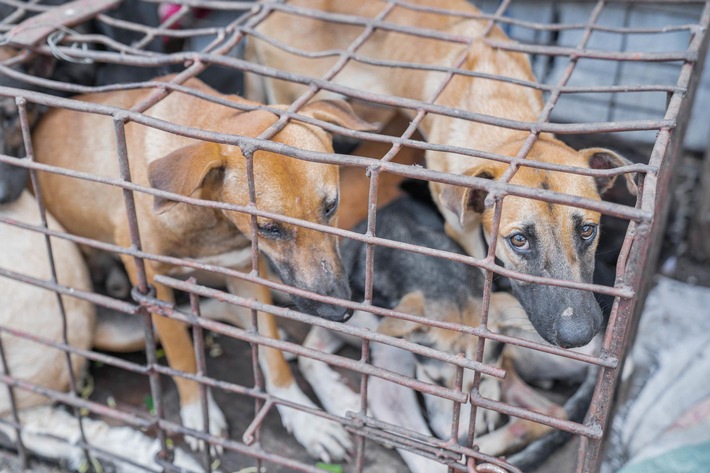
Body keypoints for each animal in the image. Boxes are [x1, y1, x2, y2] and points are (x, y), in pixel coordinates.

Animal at [32, 75, 376, 460]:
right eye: (269, 228)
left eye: (331, 207)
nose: (338, 312)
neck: (211, 219)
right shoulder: (151, 279)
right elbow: (181, 351)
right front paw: (200, 412)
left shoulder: (246, 274)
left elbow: (270, 352)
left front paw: (305, 418)